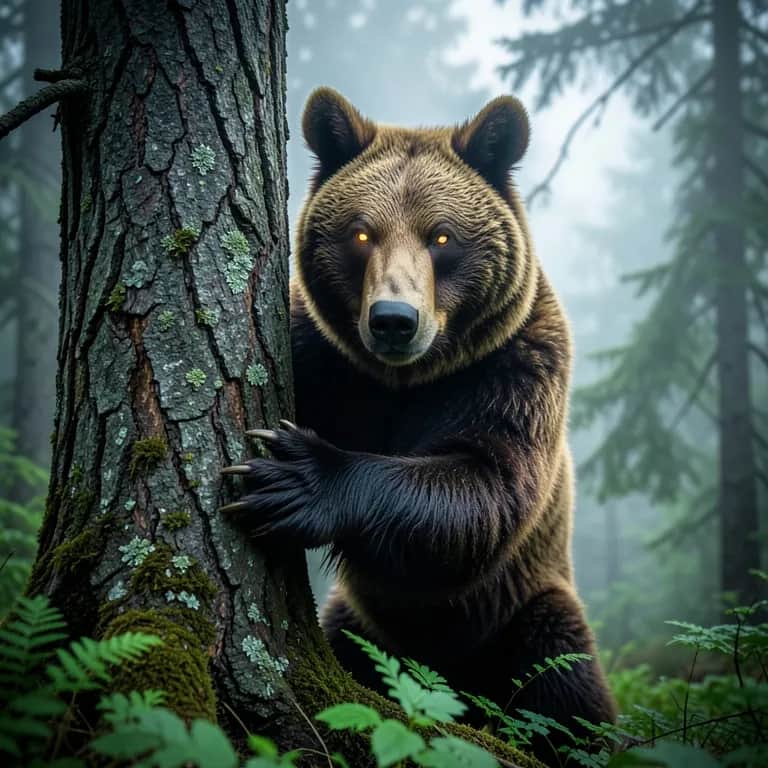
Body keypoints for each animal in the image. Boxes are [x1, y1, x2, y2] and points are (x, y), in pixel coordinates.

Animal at [223, 87, 617, 760]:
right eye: (360, 232)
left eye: (441, 236)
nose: (393, 319)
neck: (407, 383)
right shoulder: (324, 361)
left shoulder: (514, 369)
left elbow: (484, 487)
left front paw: (291, 477)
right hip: (357, 624)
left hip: (526, 610)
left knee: (565, 690)